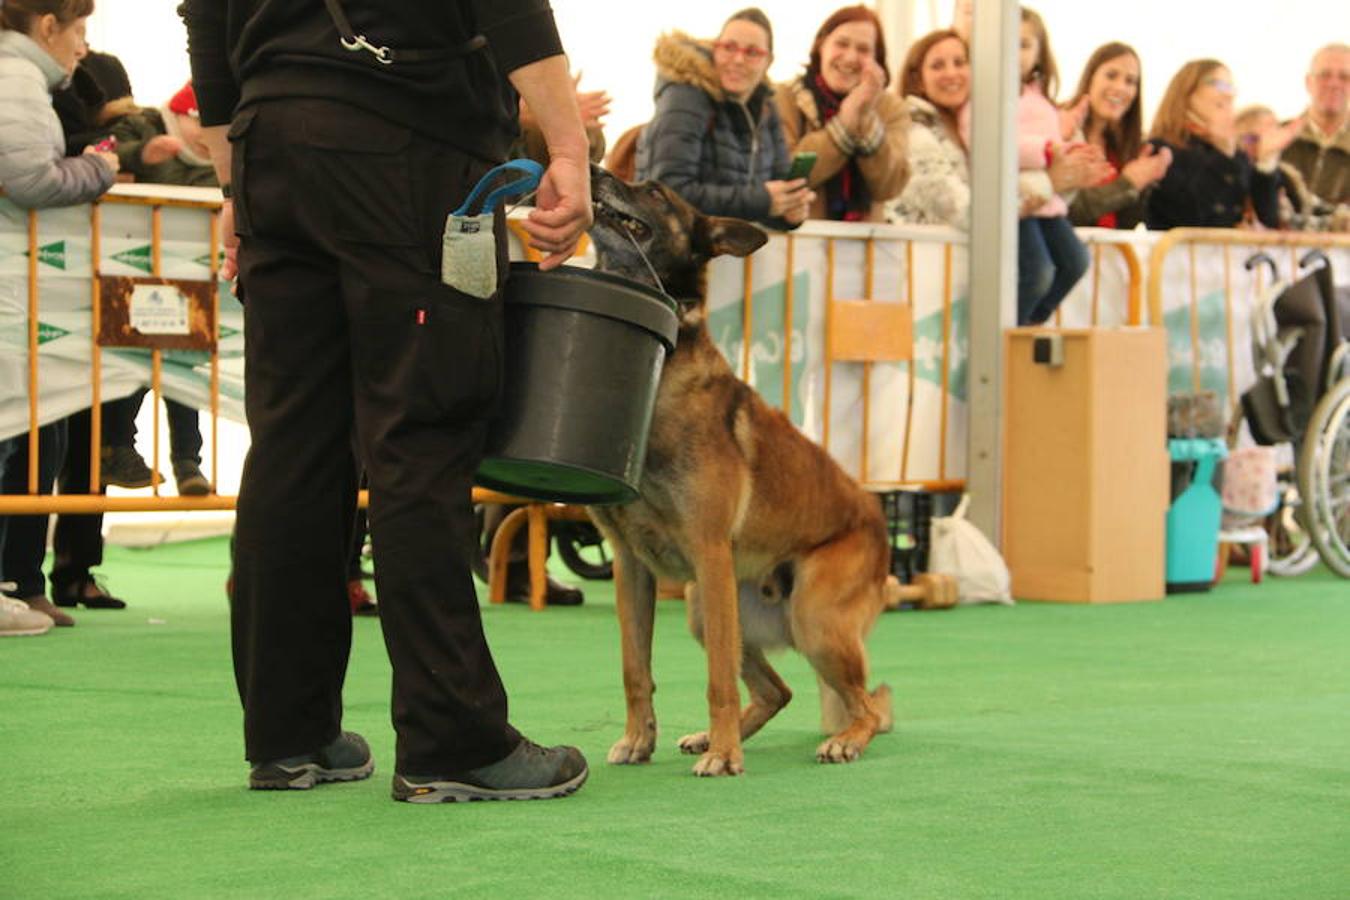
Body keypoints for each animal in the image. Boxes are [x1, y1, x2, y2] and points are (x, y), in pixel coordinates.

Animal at [583, 167, 891, 777]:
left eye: (655, 192)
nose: (595, 169)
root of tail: (875, 513)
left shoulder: (708, 552)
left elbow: (717, 679)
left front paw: (724, 756)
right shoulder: (631, 567)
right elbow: (635, 670)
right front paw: (639, 740)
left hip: (811, 618)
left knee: (868, 705)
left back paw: (841, 740)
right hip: (704, 607)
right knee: (779, 691)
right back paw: (712, 737)